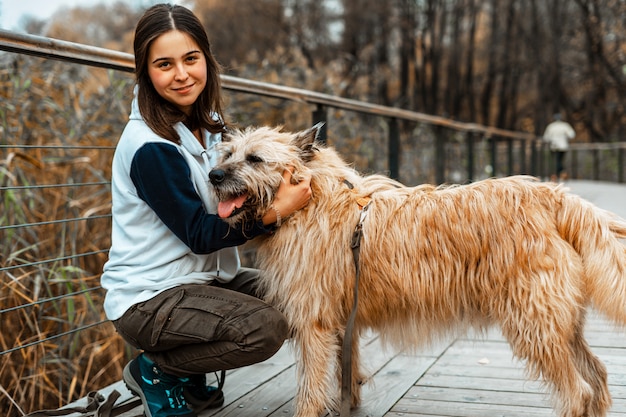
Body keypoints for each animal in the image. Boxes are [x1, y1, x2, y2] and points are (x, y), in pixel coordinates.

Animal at [207, 124, 624, 416]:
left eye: (255, 159)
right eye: (228, 153)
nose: (214, 176)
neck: (313, 198)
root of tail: (551, 195)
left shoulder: (314, 324)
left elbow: (310, 389)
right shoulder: (342, 319)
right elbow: (347, 370)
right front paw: (349, 403)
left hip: (534, 321)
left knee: (578, 391)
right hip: (559, 322)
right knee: (597, 376)